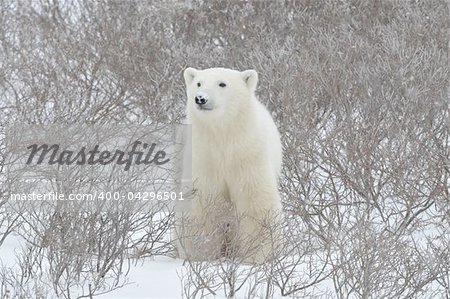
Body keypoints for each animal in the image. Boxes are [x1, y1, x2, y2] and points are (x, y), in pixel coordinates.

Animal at [176, 67, 282, 264]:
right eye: (199, 83)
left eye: (222, 84)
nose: (200, 98)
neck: (223, 135)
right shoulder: (203, 157)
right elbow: (201, 202)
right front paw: (200, 254)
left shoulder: (248, 153)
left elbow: (255, 200)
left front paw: (256, 256)